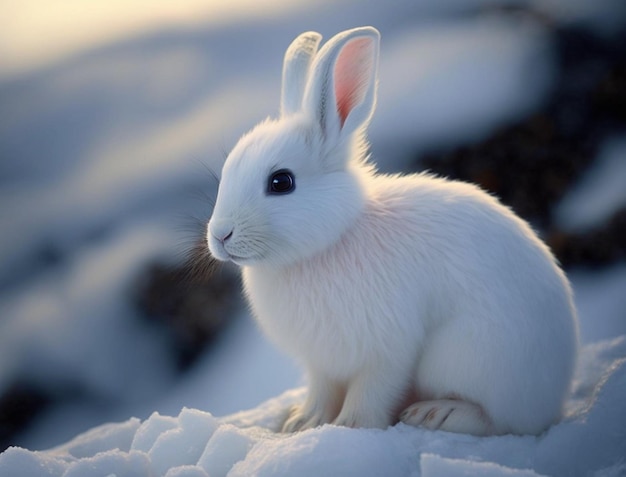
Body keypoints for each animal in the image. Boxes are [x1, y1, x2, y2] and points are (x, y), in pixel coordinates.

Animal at [207, 26, 576, 436]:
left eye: (281, 182)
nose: (220, 235)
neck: (333, 239)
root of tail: (554, 398)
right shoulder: (321, 364)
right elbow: (321, 391)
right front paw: (302, 423)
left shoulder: (388, 348)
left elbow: (373, 390)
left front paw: (350, 426)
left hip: (467, 356)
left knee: (496, 421)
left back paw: (436, 414)